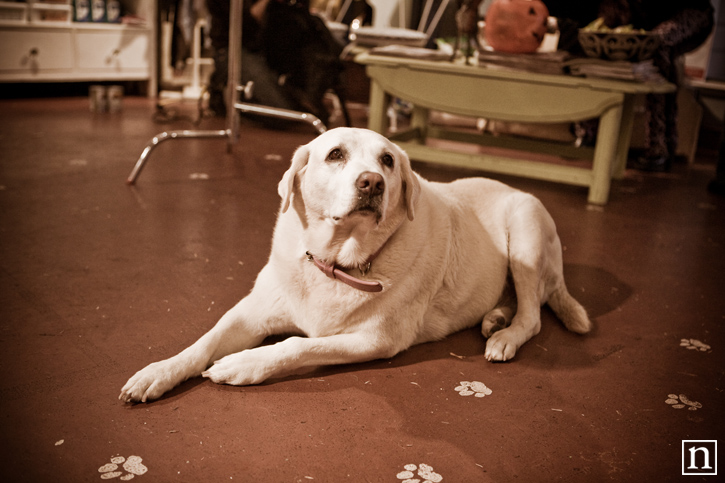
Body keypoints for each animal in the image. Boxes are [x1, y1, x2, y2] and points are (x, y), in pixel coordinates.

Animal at [120, 126, 588, 402]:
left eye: (388, 161)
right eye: (335, 155)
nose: (372, 183)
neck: (334, 262)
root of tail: (514, 187)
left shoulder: (375, 340)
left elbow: (298, 345)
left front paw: (245, 364)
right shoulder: (251, 312)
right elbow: (203, 341)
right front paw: (158, 372)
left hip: (525, 232)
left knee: (533, 316)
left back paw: (504, 336)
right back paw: (494, 318)